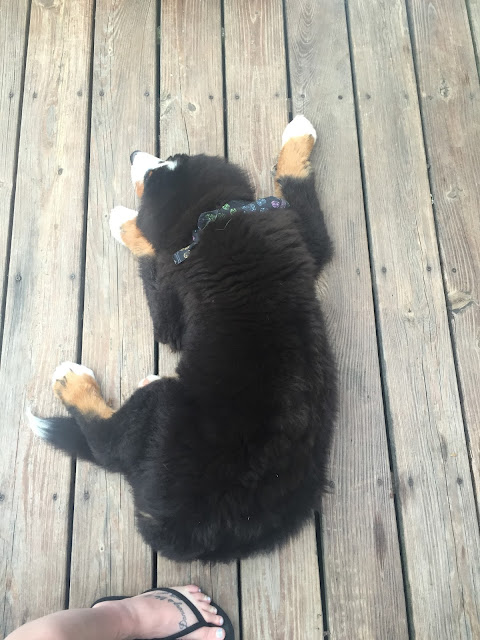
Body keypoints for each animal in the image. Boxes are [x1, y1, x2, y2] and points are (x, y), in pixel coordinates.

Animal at [29, 116, 337, 562]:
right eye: (171, 157)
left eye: (156, 171)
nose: (134, 154)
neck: (210, 217)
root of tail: (184, 533)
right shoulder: (307, 241)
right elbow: (300, 193)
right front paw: (297, 136)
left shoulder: (170, 313)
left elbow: (153, 253)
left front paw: (124, 222)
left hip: (166, 408)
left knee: (109, 443)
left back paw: (74, 382)